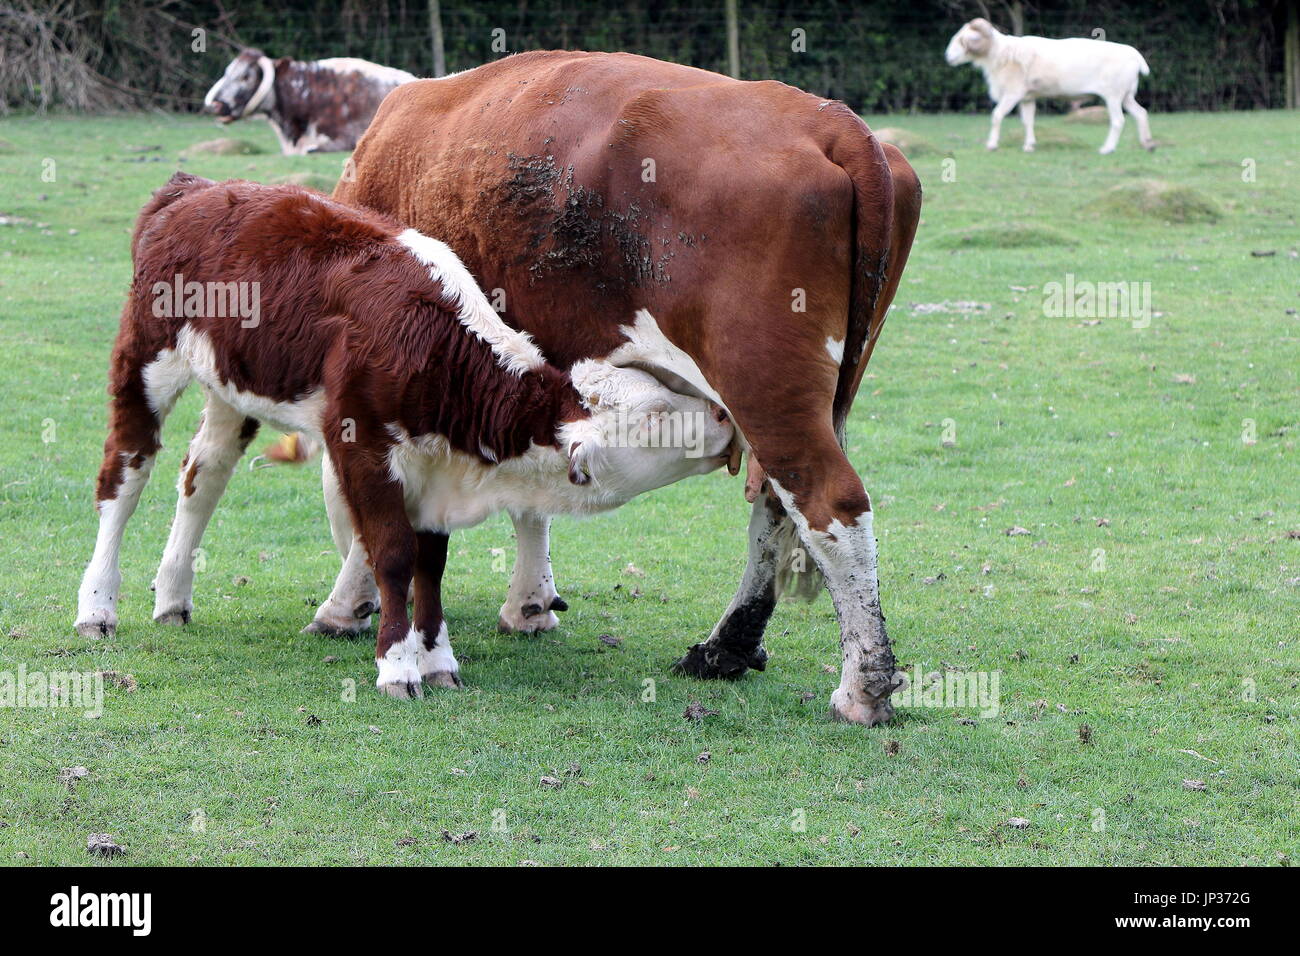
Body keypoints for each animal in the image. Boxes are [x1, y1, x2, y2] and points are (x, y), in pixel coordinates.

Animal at [73, 173, 736, 698]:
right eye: (655, 412)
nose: (726, 418)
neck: (436, 346)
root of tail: (193, 189)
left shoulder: (435, 467)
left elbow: (430, 565)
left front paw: (438, 659)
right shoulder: (362, 448)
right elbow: (393, 555)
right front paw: (397, 666)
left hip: (229, 385)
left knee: (201, 476)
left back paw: (173, 596)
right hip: (145, 359)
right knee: (123, 478)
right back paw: (97, 605)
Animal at [328, 50, 923, 725]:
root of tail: (827, 119)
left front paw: (349, 603)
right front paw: (531, 602)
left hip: (766, 389)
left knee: (830, 501)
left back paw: (862, 689)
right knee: (777, 502)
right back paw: (725, 650)